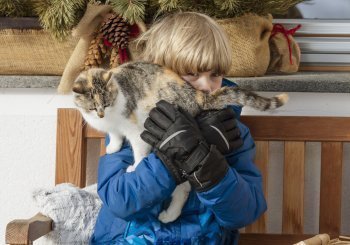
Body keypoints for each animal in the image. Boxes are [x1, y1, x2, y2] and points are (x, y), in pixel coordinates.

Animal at [72, 61, 288, 224]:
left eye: (106, 103)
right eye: (93, 107)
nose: (101, 114)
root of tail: (198, 95)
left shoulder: (137, 130)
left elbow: (139, 151)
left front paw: (135, 166)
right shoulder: (114, 127)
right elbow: (116, 135)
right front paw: (113, 147)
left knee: (183, 188)